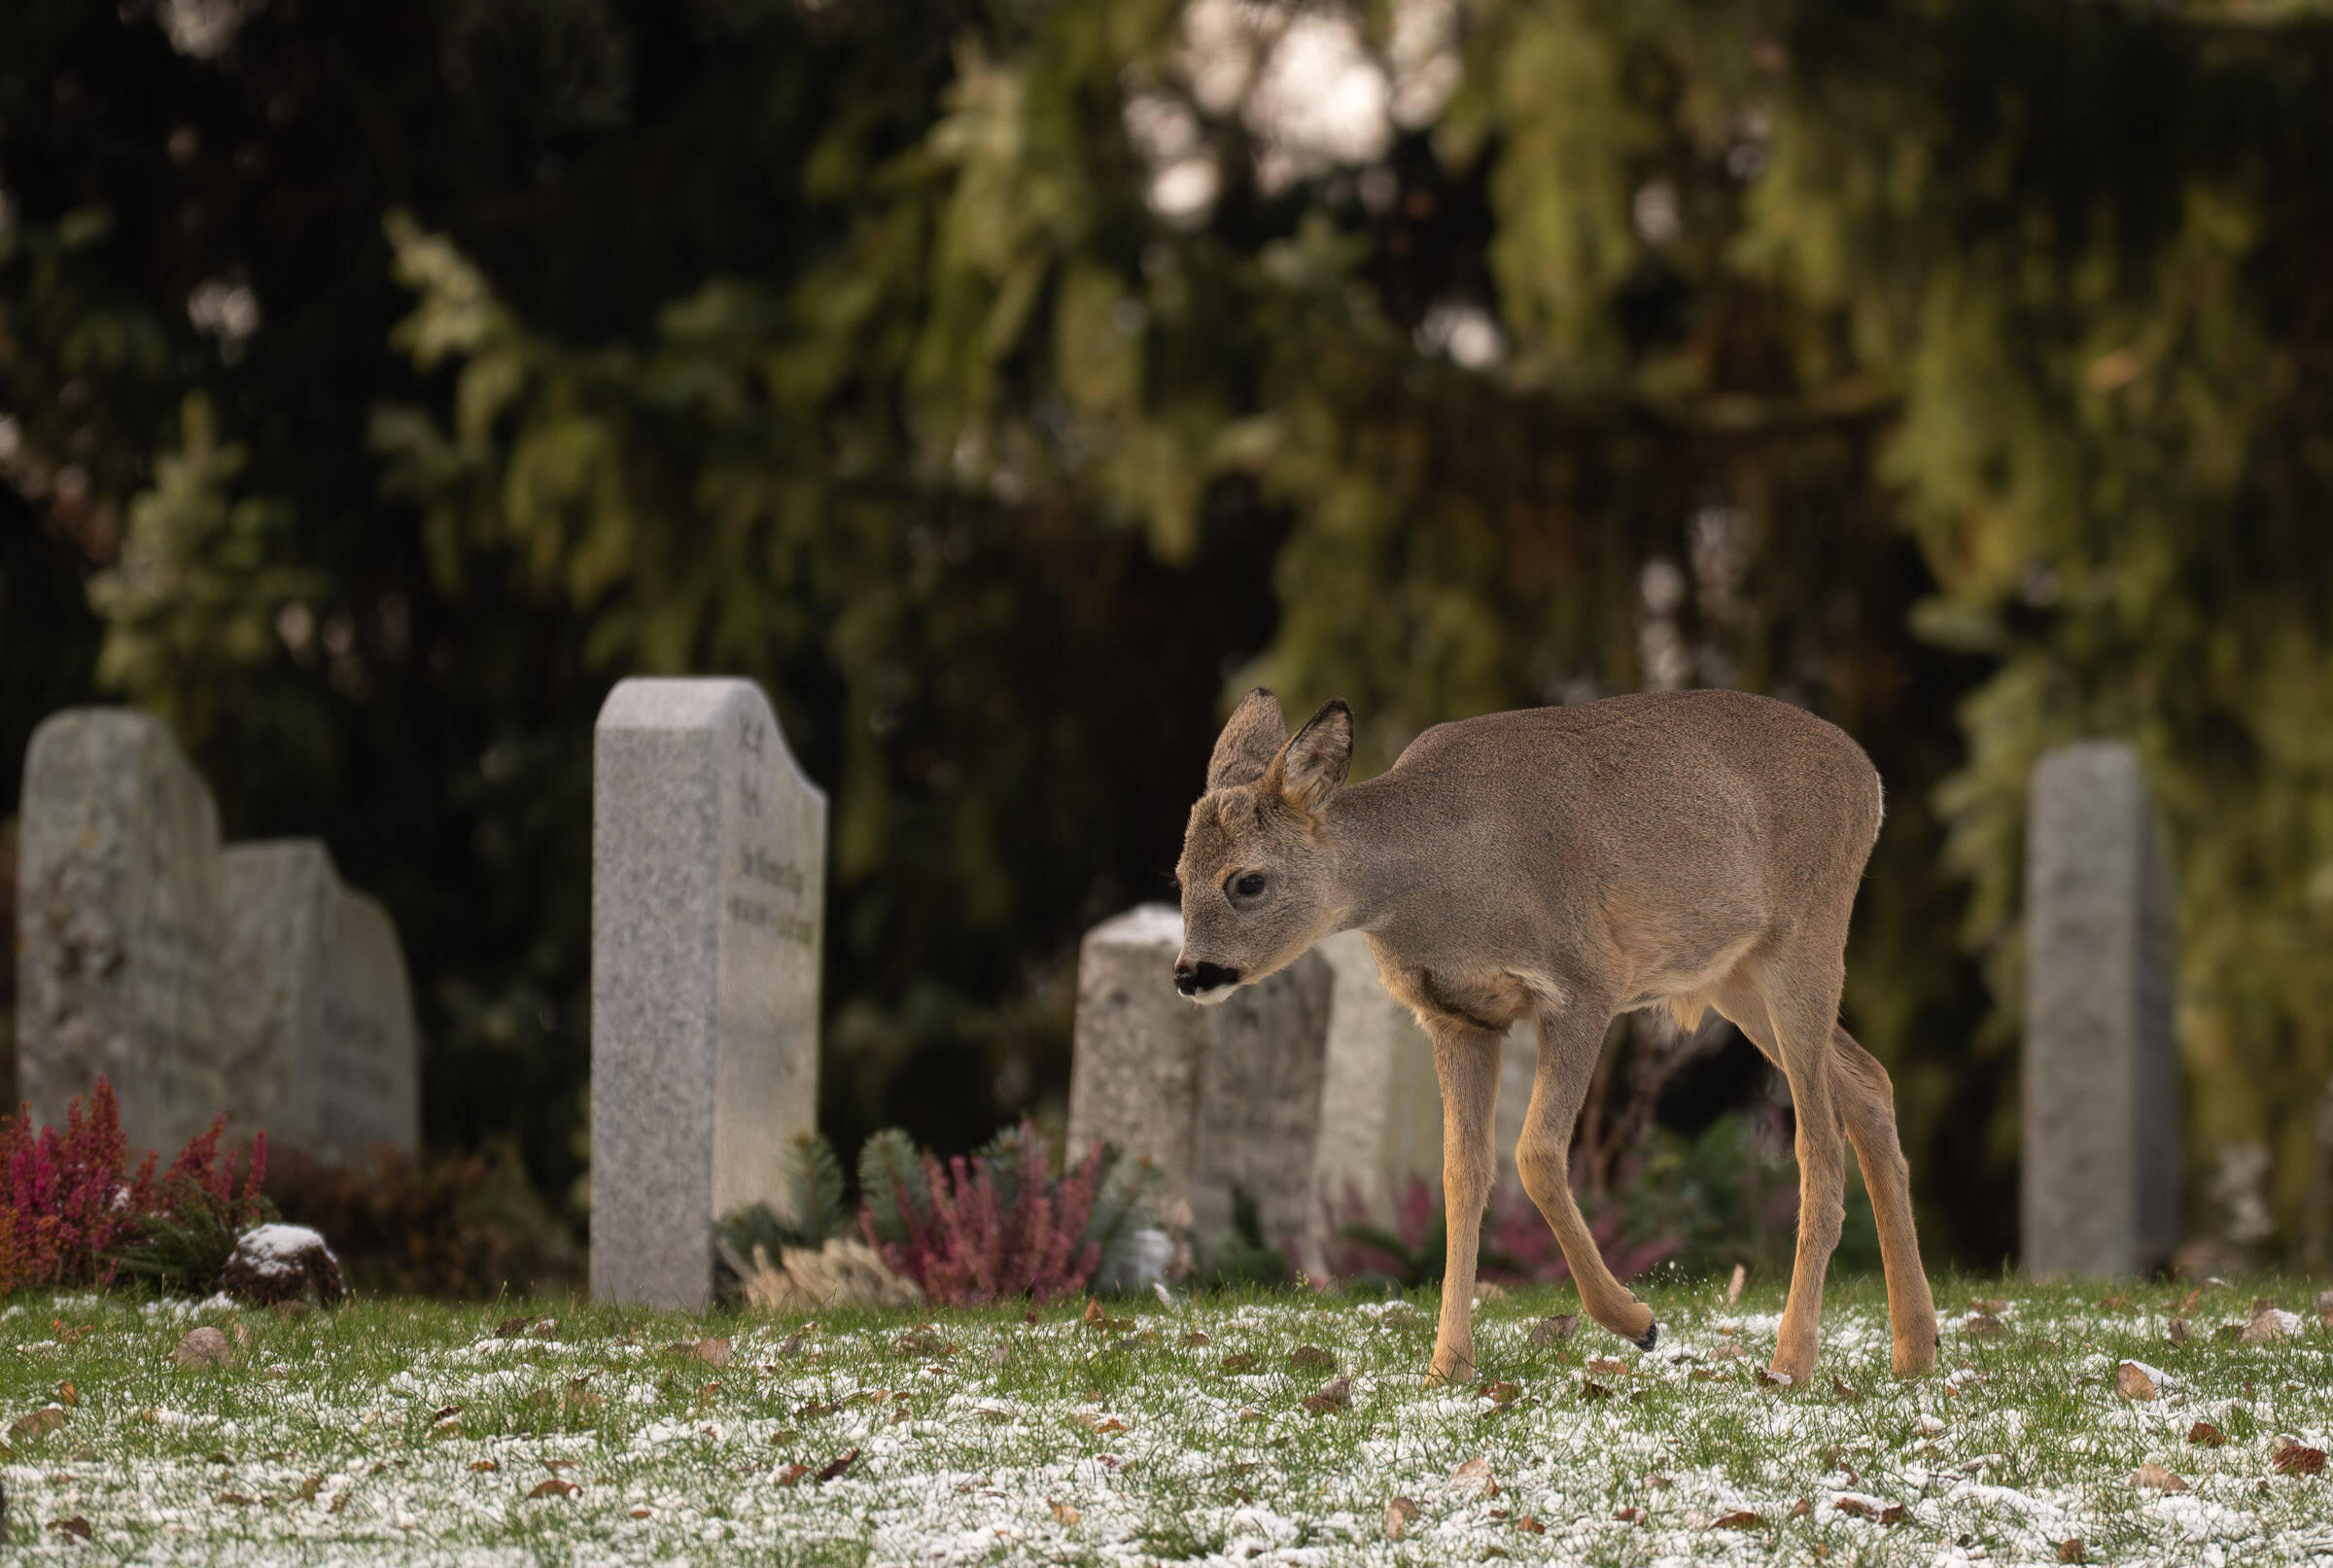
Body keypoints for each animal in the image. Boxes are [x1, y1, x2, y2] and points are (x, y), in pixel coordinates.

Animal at [1171, 687, 1938, 1388]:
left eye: (1247, 881)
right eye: (1179, 874)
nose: (1188, 973)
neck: (1437, 882)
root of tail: (1869, 779)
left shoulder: (1583, 983)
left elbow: (1535, 1154)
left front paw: (1637, 1320)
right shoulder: (1456, 1017)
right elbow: (1462, 1173)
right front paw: (1448, 1365)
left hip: (1805, 938)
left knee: (1818, 1142)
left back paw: (1791, 1361)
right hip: (1734, 974)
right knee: (1869, 1083)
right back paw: (1915, 1350)